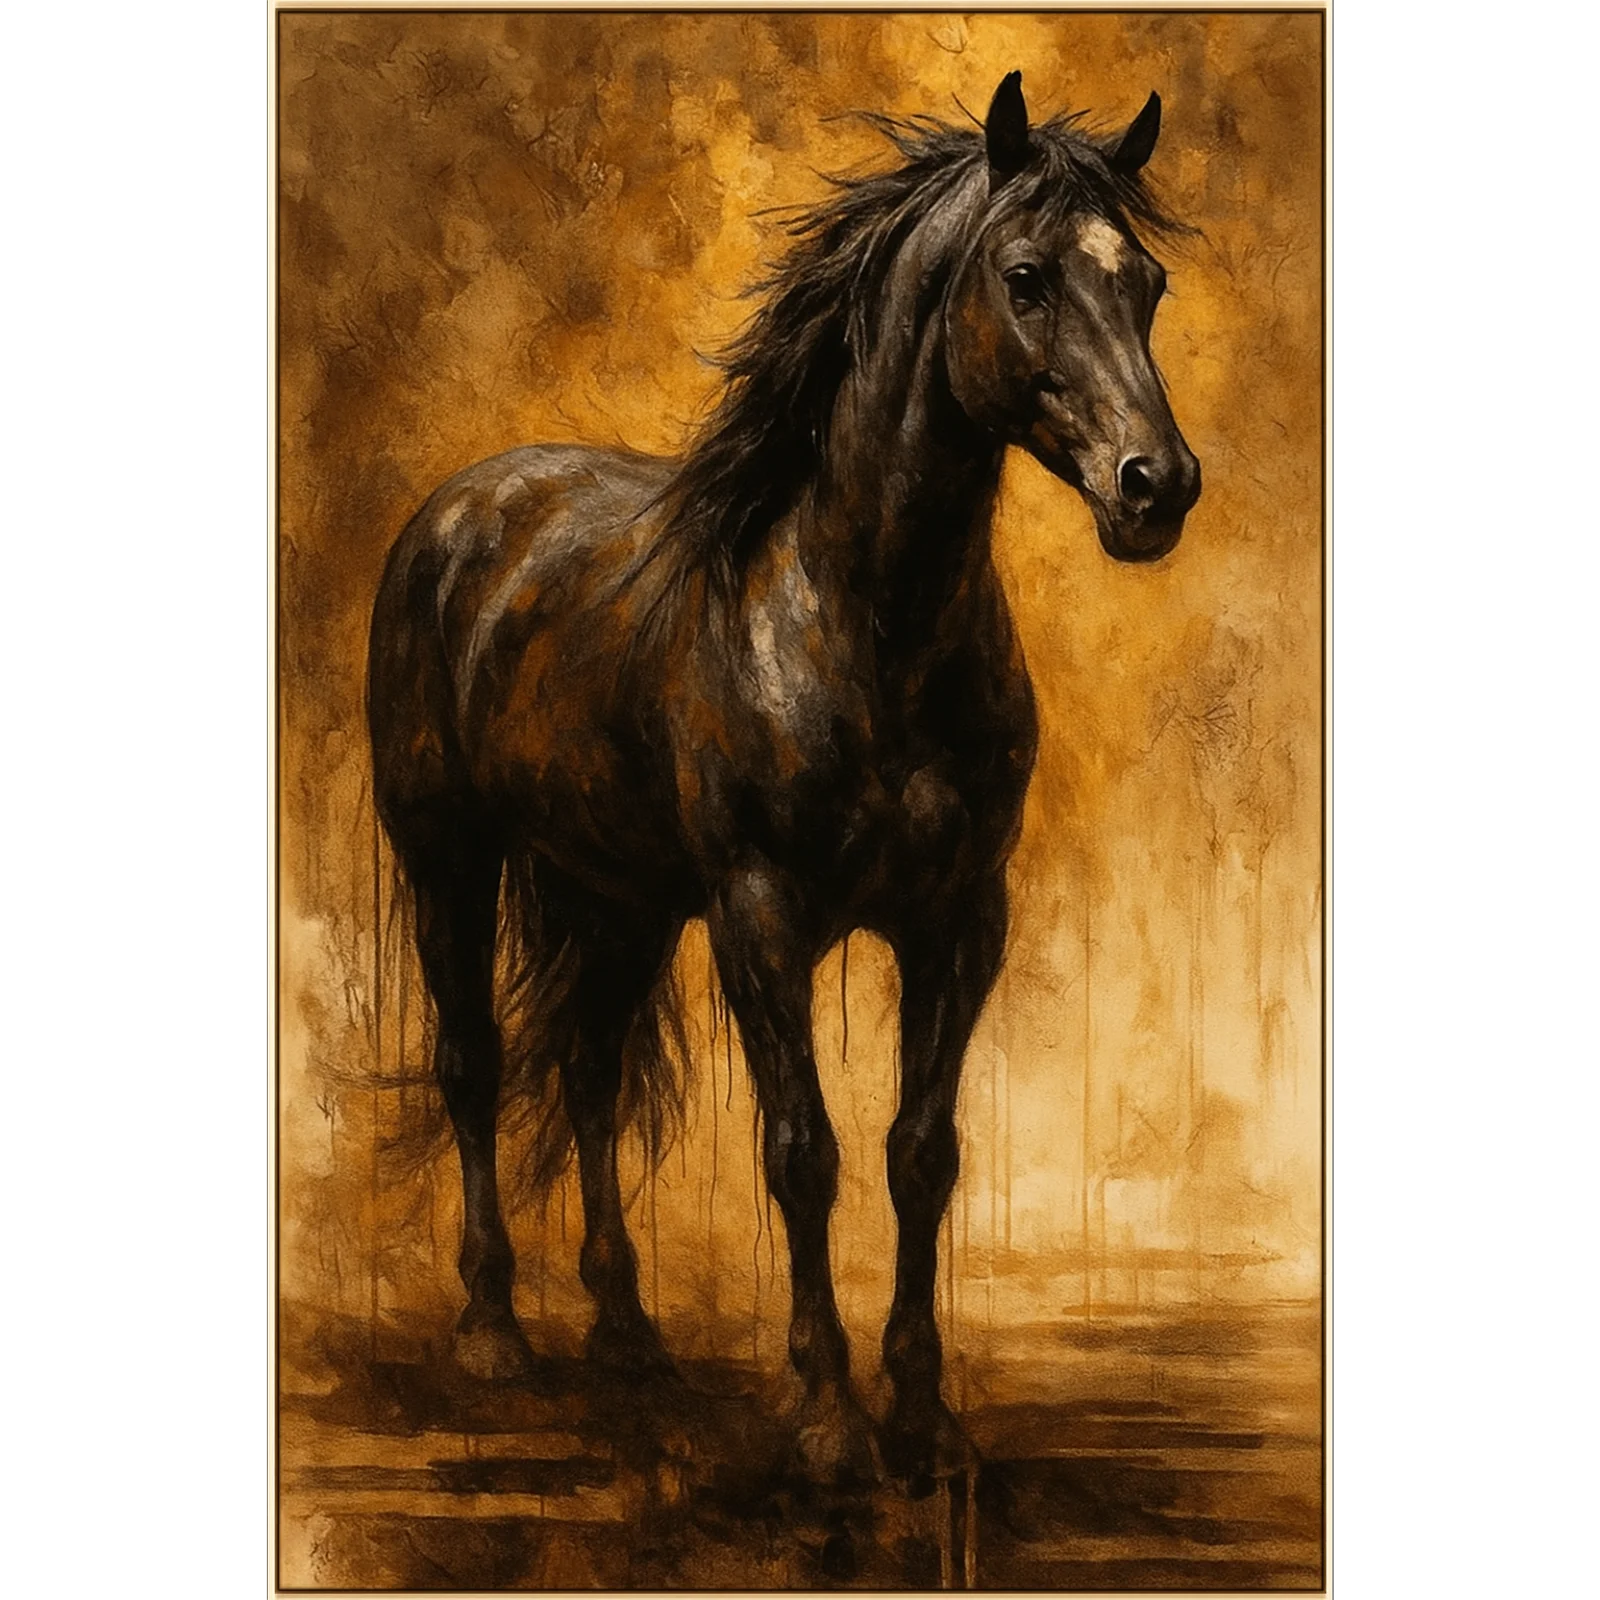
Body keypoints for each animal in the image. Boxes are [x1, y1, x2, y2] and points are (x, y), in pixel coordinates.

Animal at [367, 70, 1200, 1484]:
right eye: (1025, 277)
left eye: (1143, 281)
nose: (1158, 486)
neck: (857, 619)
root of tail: (464, 509)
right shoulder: (761, 918)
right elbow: (802, 1151)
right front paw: (825, 1411)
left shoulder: (957, 920)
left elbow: (921, 1154)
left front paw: (922, 1414)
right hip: (452, 863)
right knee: (475, 1065)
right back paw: (492, 1331)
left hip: (622, 900)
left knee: (588, 1073)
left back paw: (626, 1327)